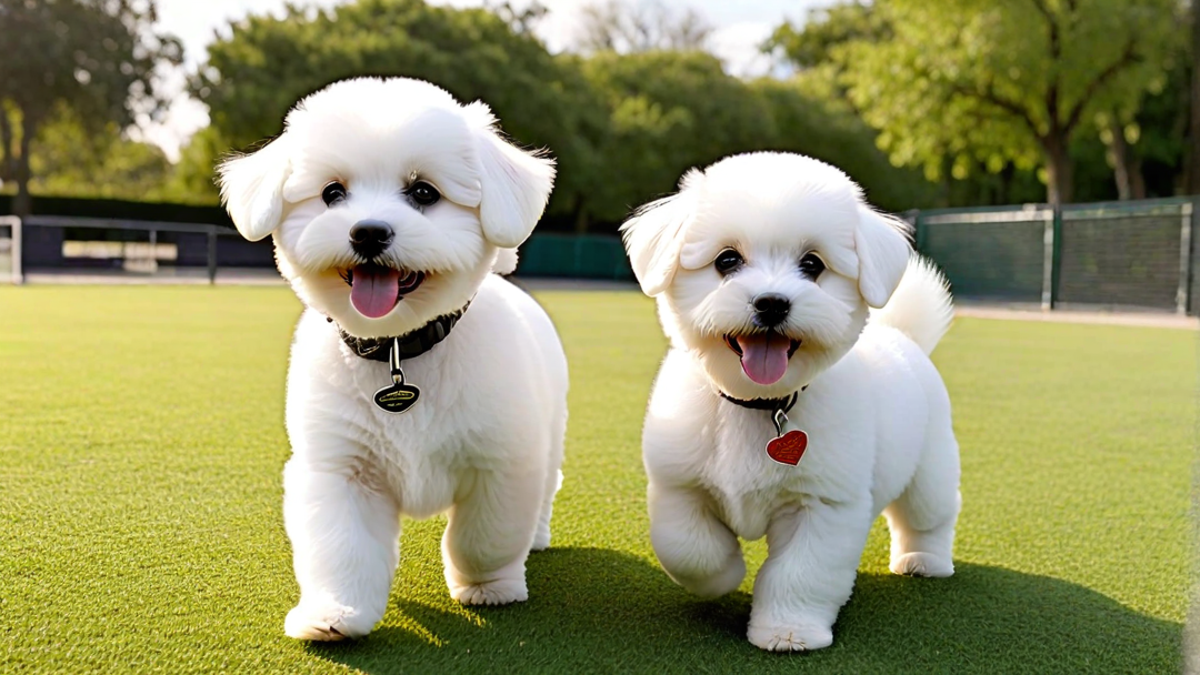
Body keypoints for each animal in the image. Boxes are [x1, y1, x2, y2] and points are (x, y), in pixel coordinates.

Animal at [219, 76, 566, 638]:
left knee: (543, 492)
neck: (398, 348)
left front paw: (489, 587)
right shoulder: (341, 468)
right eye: (332, 193)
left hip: (550, 433)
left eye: (424, 192)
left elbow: (484, 536)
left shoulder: (501, 462)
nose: (367, 231)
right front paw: (335, 613)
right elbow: (343, 549)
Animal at [624, 151, 960, 648]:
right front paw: (725, 576)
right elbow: (689, 549)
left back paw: (925, 560)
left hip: (930, 468)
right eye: (727, 259)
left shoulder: (822, 506)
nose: (772, 302)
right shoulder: (678, 485)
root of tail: (905, 338)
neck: (759, 405)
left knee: (929, 515)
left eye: (812, 264)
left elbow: (800, 573)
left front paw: (788, 630)